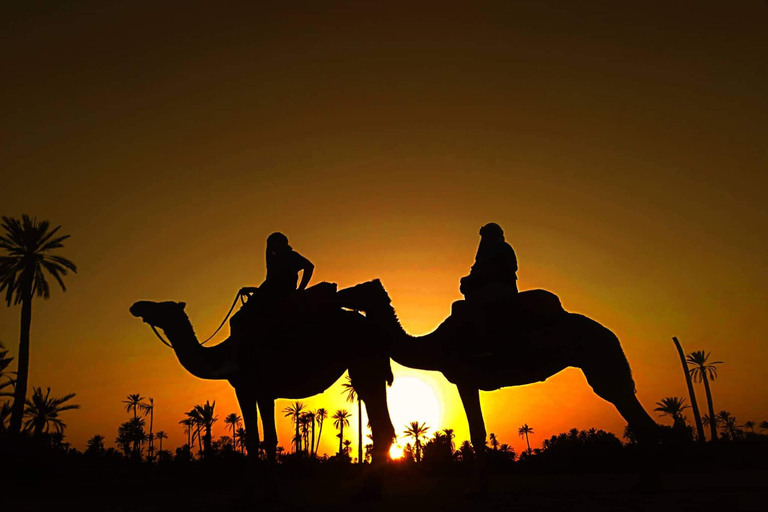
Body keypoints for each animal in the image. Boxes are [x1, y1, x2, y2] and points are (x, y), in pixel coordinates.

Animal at [130, 282, 396, 498]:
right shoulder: (246, 391)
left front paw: (273, 490)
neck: (222, 356)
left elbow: (269, 439)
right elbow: (251, 438)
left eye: (162, 307)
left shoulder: (263, 389)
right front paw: (250, 490)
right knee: (382, 426)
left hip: (364, 363)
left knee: (381, 424)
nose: (137, 305)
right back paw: (370, 490)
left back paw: (369, 492)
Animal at [340, 280, 664, 492]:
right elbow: (478, 431)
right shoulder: (465, 381)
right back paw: (645, 482)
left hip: (600, 363)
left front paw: (479, 489)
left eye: (358, 289)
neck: (434, 344)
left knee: (631, 409)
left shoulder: (465, 378)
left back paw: (648, 483)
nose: (339, 291)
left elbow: (477, 432)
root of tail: (611, 334)